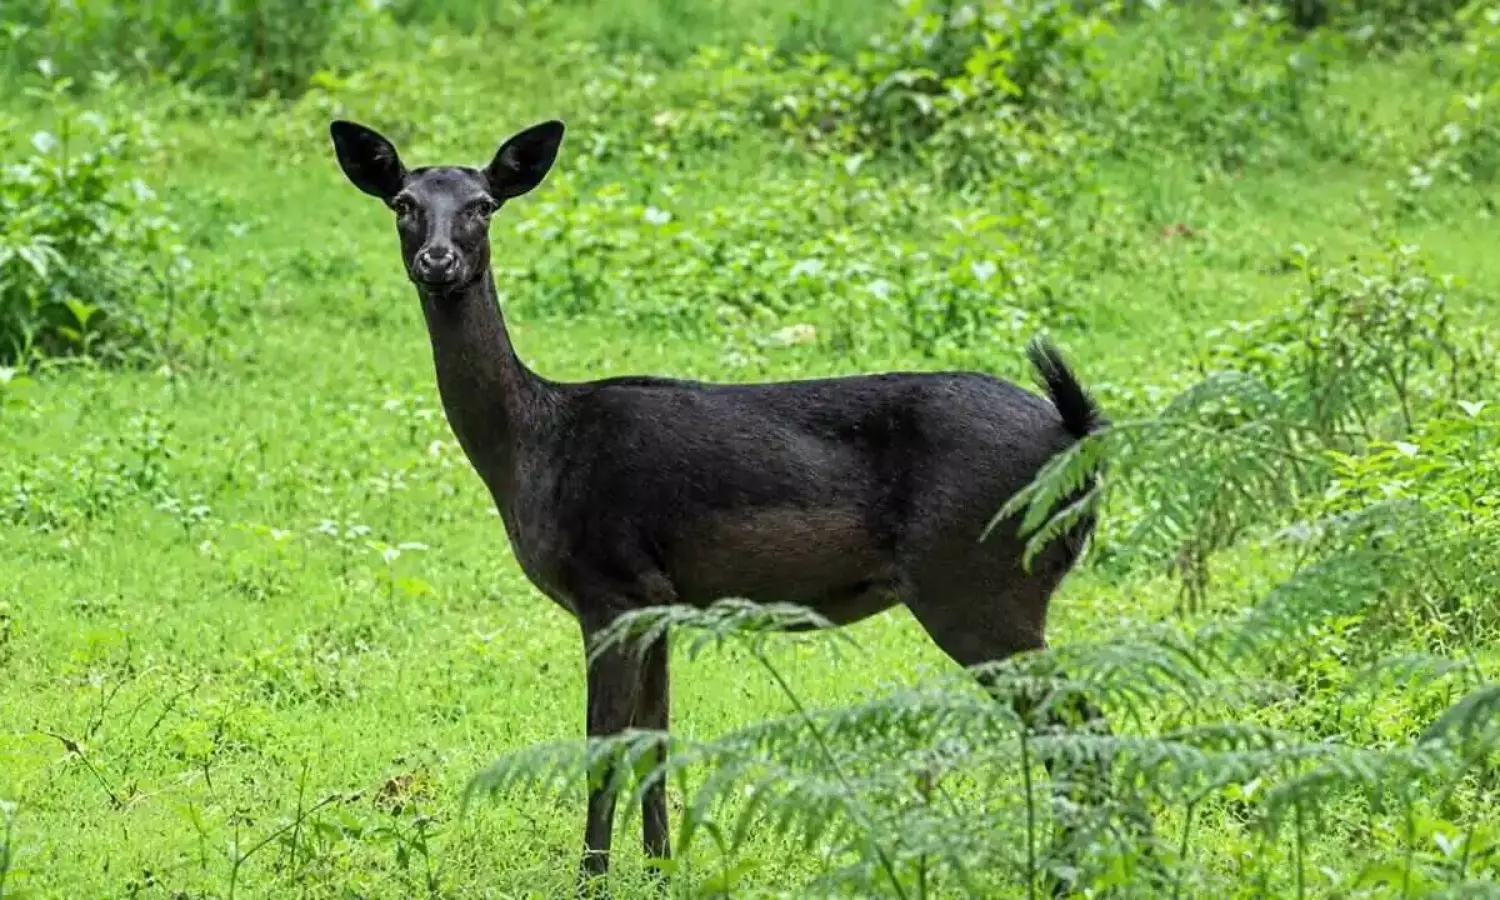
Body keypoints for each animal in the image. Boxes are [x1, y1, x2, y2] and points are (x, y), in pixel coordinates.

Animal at [330, 117, 1117, 895]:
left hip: (978, 582)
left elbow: (603, 748)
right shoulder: (657, 599)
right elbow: (655, 738)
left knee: (1082, 725)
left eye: (483, 204)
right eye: (402, 201)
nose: (436, 259)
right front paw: (660, 868)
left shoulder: (608, 586)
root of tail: (1078, 437)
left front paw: (593, 881)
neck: (537, 448)